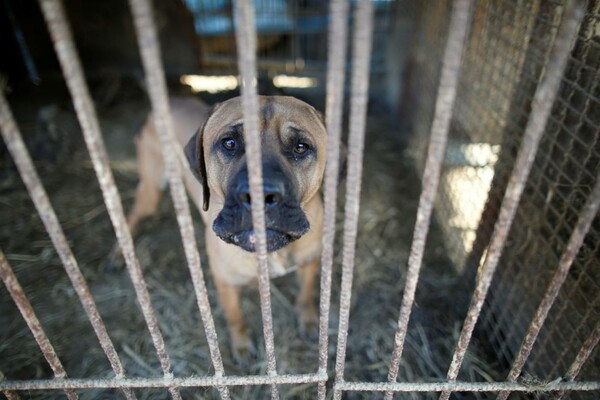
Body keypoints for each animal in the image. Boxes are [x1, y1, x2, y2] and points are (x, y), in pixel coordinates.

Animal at [112, 95, 336, 364]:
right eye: (229, 143)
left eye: (301, 147)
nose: (260, 196)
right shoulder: (225, 284)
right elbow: (235, 317)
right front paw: (241, 345)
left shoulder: (309, 263)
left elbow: (305, 295)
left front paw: (310, 320)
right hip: (151, 190)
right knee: (130, 216)